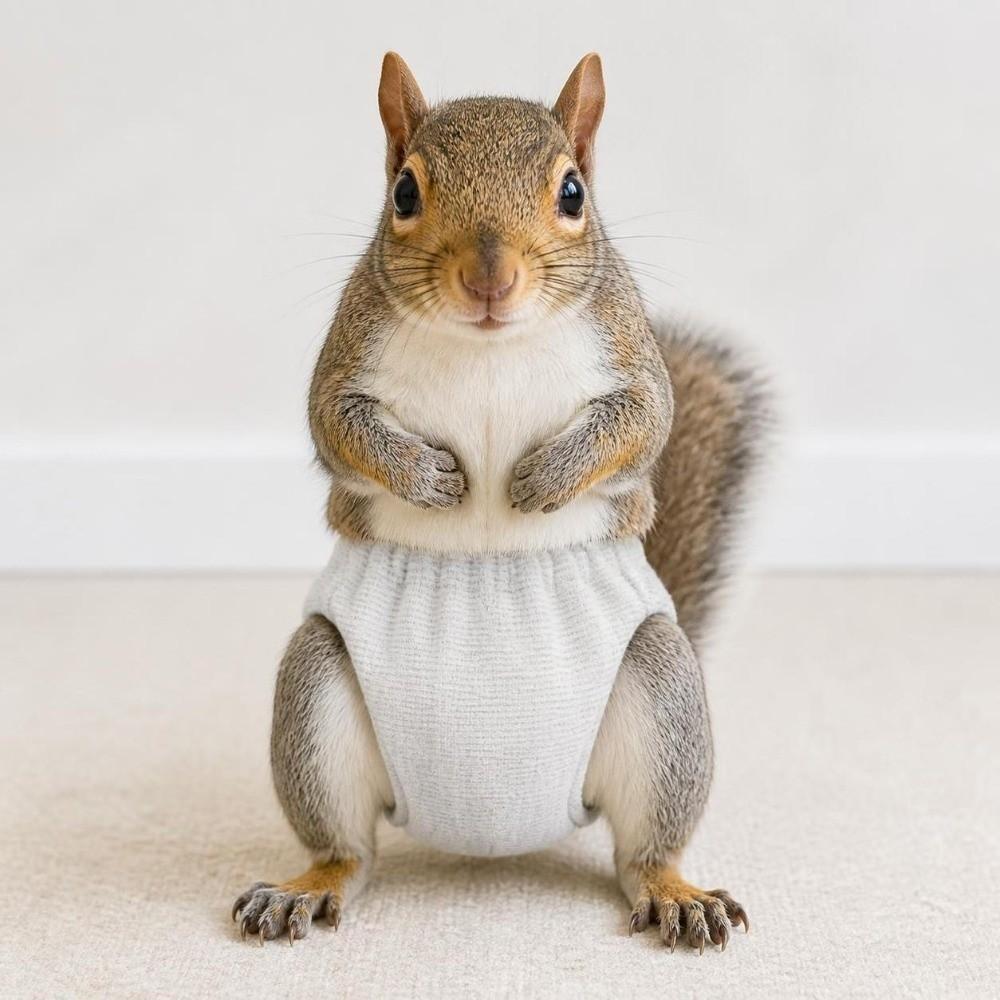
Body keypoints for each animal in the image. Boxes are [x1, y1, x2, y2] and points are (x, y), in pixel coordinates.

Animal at [232, 52, 770, 952]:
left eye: (573, 193)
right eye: (404, 193)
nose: (491, 278)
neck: (489, 344)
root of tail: (492, 832)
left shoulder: (630, 356)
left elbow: (642, 423)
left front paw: (544, 477)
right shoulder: (345, 360)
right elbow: (336, 426)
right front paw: (427, 477)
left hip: (661, 692)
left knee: (642, 850)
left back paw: (675, 892)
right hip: (316, 690)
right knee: (348, 849)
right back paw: (305, 886)